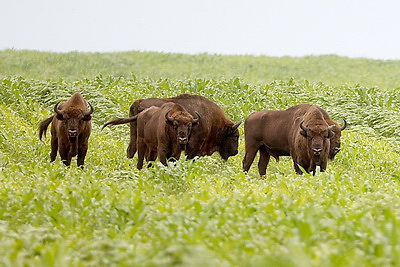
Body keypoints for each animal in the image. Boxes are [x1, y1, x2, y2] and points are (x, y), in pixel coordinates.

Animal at [111, 94, 241, 161]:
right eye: (235, 136)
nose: (235, 152)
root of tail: (138, 102)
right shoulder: (194, 147)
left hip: (134, 133)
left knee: (131, 150)